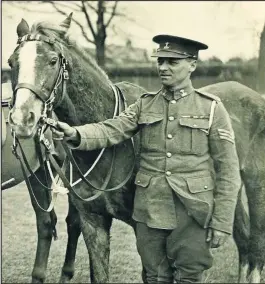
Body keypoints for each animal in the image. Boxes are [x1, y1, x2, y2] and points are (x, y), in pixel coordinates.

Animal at [6, 13, 264, 284]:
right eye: (12, 62)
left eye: (53, 60)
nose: (22, 118)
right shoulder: (93, 222)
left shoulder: (145, 228)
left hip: (255, 184)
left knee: (256, 243)